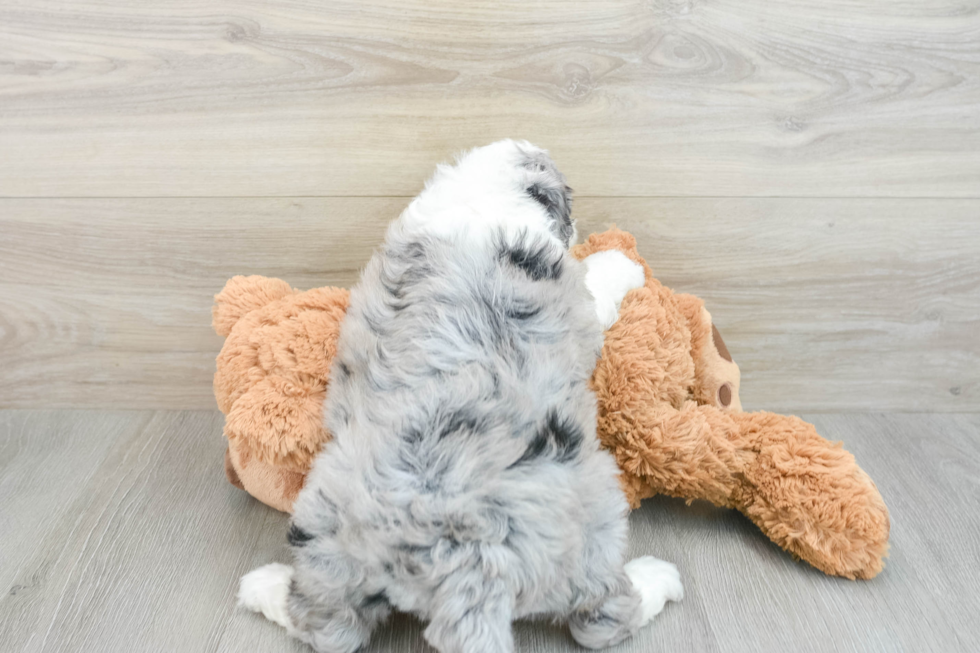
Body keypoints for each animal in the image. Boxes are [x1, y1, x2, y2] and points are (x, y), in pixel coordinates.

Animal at [237, 140, 680, 648]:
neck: (479, 195)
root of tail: (467, 558)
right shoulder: (580, 300)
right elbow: (599, 278)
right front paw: (621, 263)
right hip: (594, 523)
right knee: (604, 617)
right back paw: (657, 578)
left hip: (328, 533)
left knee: (328, 626)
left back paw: (261, 585)